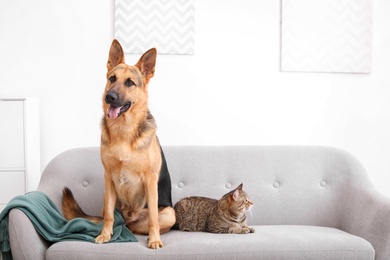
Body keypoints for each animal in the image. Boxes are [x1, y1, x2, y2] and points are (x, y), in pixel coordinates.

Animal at [62, 39, 175, 249]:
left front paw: (154, 240)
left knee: (145, 223)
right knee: (115, 219)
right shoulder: (108, 178)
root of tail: (129, 220)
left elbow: (153, 218)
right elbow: (108, 216)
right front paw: (105, 235)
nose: (110, 97)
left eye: (130, 83)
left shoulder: (150, 180)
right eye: (112, 78)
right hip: (107, 199)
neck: (123, 130)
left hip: (170, 213)